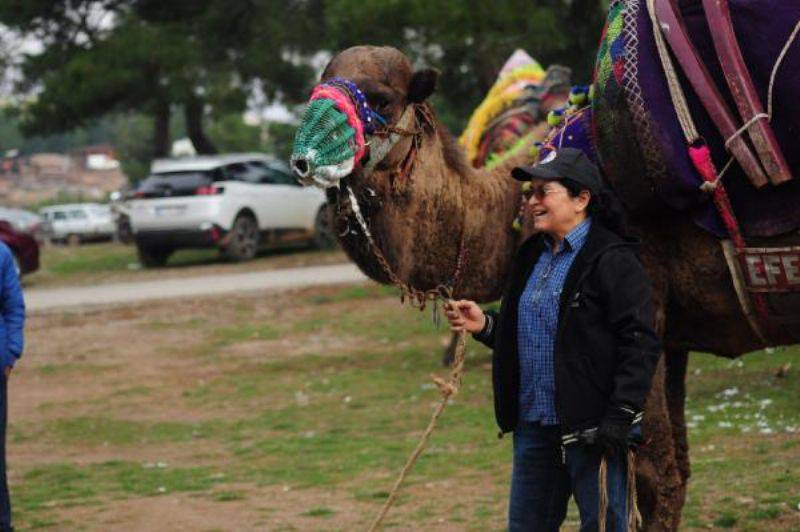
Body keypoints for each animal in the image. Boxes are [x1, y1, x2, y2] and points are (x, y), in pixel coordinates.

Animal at [290, 22, 800, 528]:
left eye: (381, 98)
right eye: (317, 84)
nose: (302, 159)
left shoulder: (645, 304)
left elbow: (653, 478)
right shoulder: (673, 334)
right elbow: (680, 469)